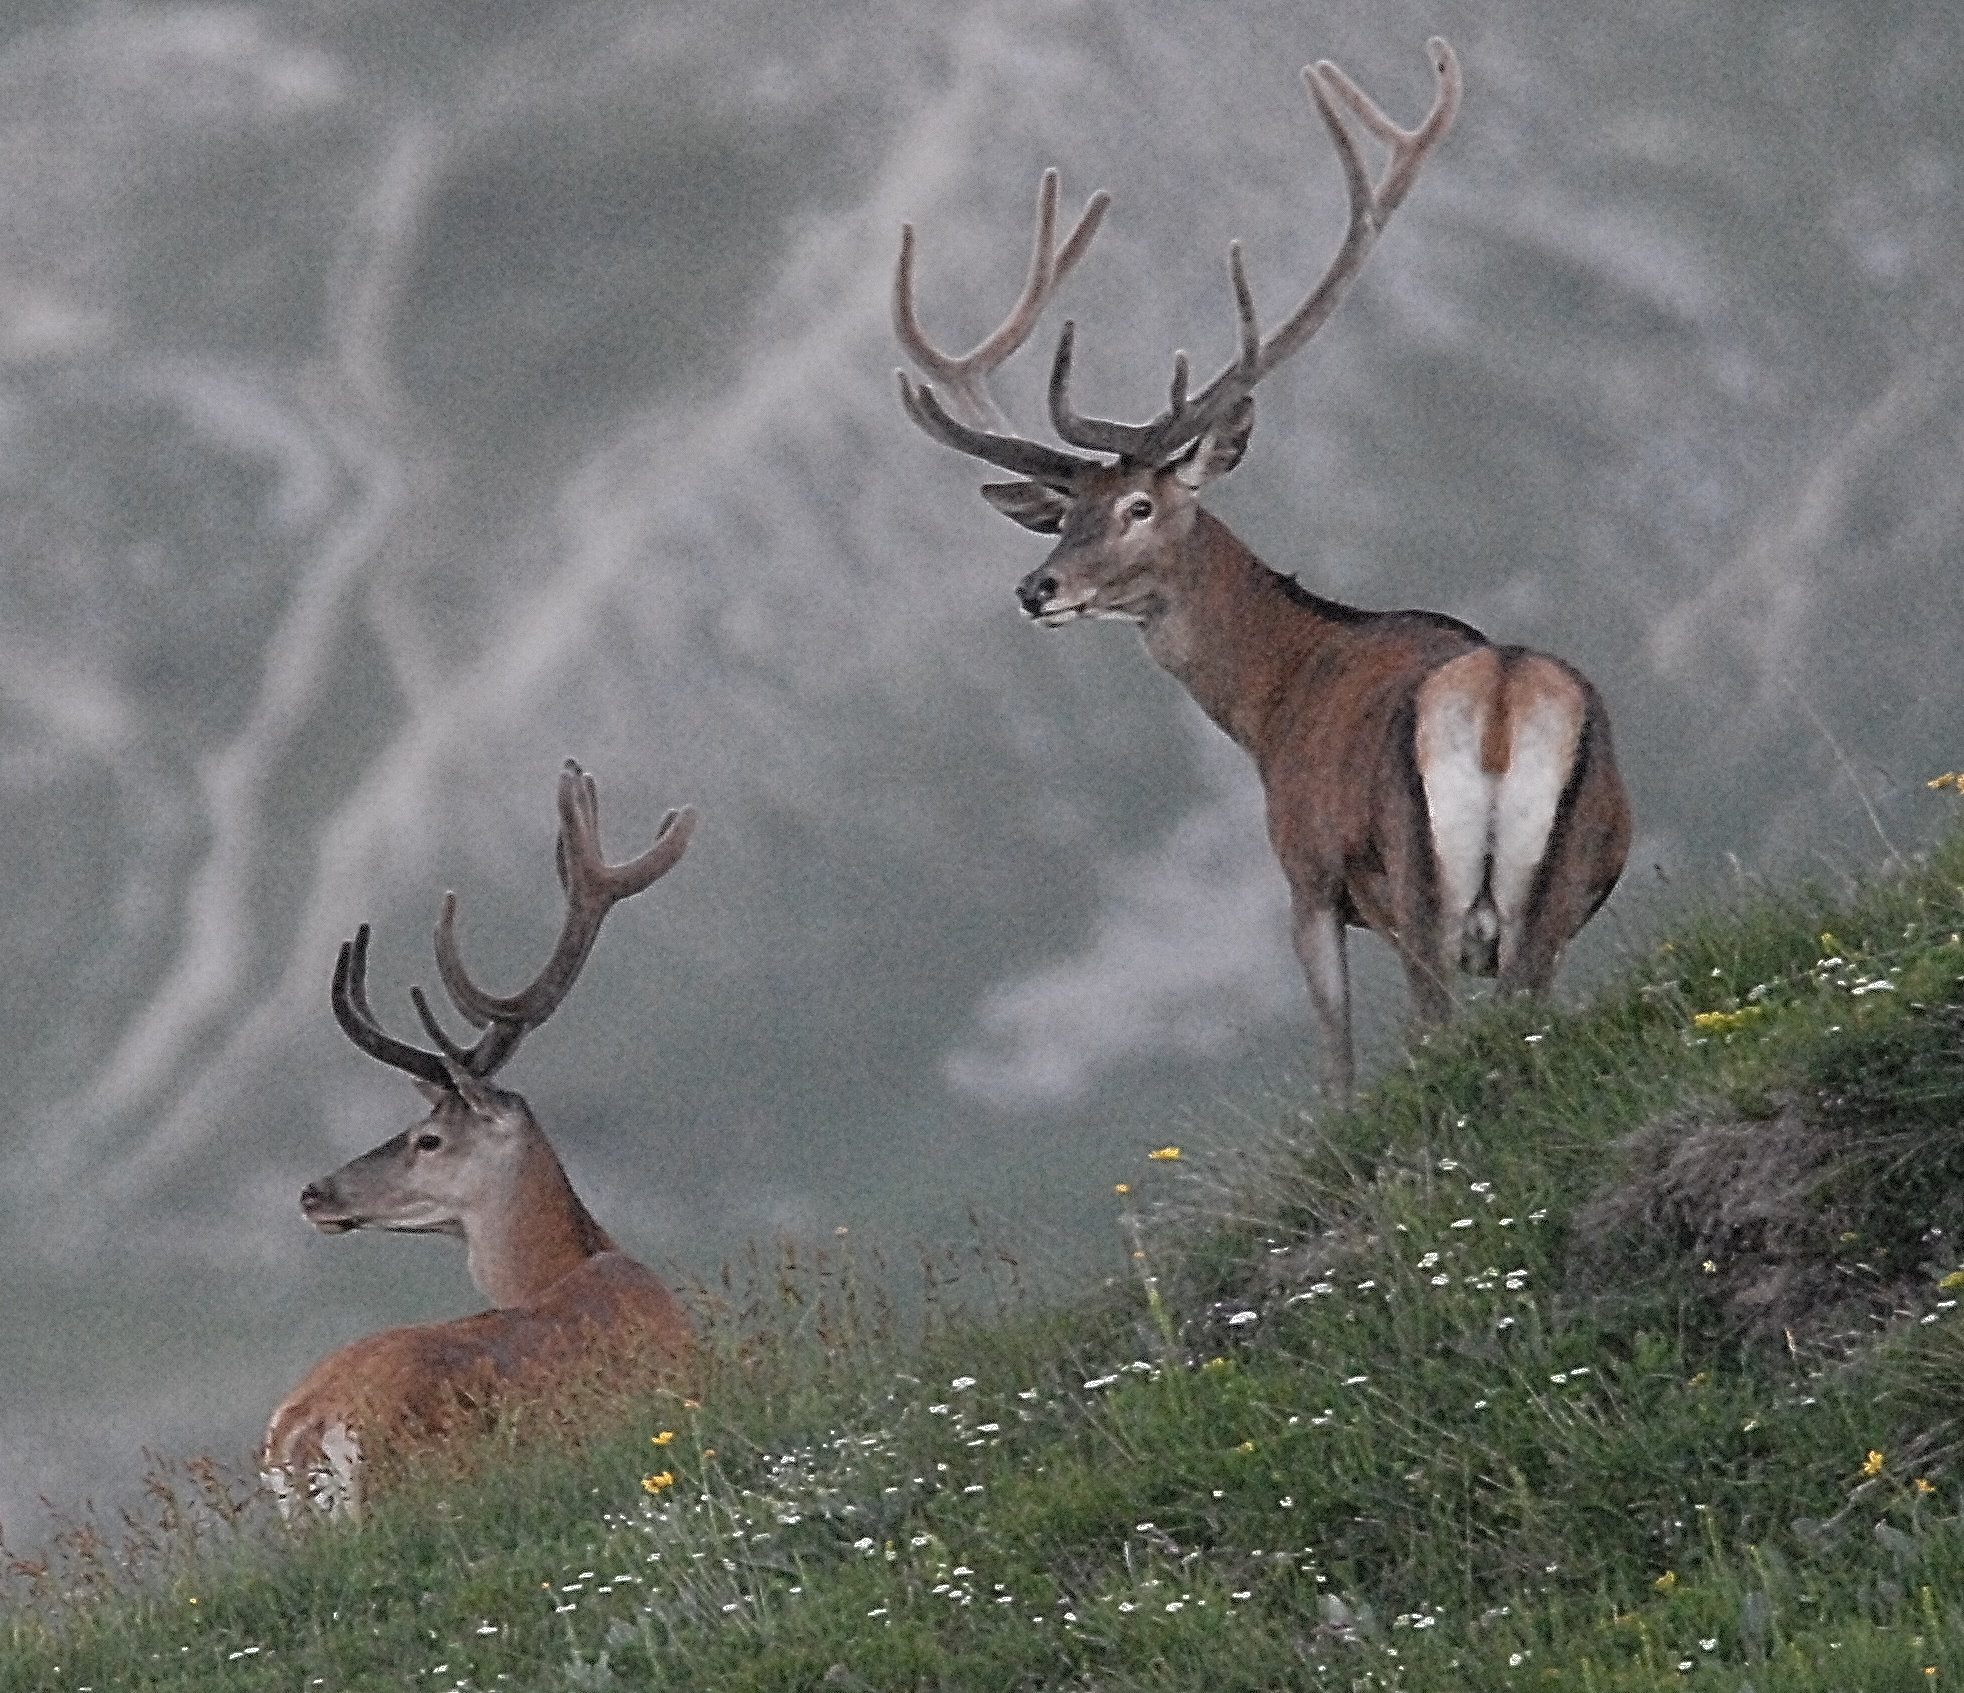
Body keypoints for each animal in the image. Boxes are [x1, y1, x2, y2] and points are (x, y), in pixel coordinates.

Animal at [894, 37, 1631, 1101]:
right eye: (1061, 517)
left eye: (1140, 506)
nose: (1038, 589)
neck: (1271, 703)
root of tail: (1501, 697)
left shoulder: (1309, 874)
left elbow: (1336, 1066)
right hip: (1561, 886)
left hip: (1421, 884)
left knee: (1433, 1028)